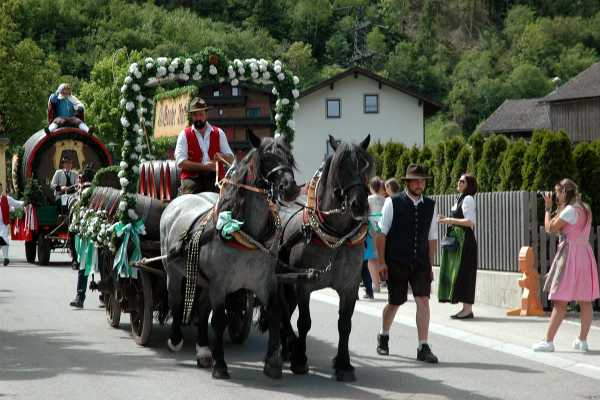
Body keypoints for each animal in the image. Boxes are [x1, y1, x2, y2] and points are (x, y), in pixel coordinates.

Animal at [159, 133, 300, 380]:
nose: (290, 188)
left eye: (289, 157)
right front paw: (221, 365)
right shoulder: (220, 284)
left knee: (202, 306)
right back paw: (176, 339)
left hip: (204, 280)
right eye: (267, 157)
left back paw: (203, 350)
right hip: (173, 271)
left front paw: (272, 363)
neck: (247, 236)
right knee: (175, 301)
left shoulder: (265, 282)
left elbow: (274, 313)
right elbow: (219, 320)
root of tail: (177, 202)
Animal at [278, 134, 372, 382]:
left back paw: (286, 347)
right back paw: (289, 345)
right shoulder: (304, 285)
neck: (335, 239)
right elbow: (304, 322)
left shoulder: (349, 288)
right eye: (341, 167)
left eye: (366, 167)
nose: (360, 205)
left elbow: (345, 324)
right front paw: (300, 360)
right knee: (281, 311)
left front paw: (344, 364)